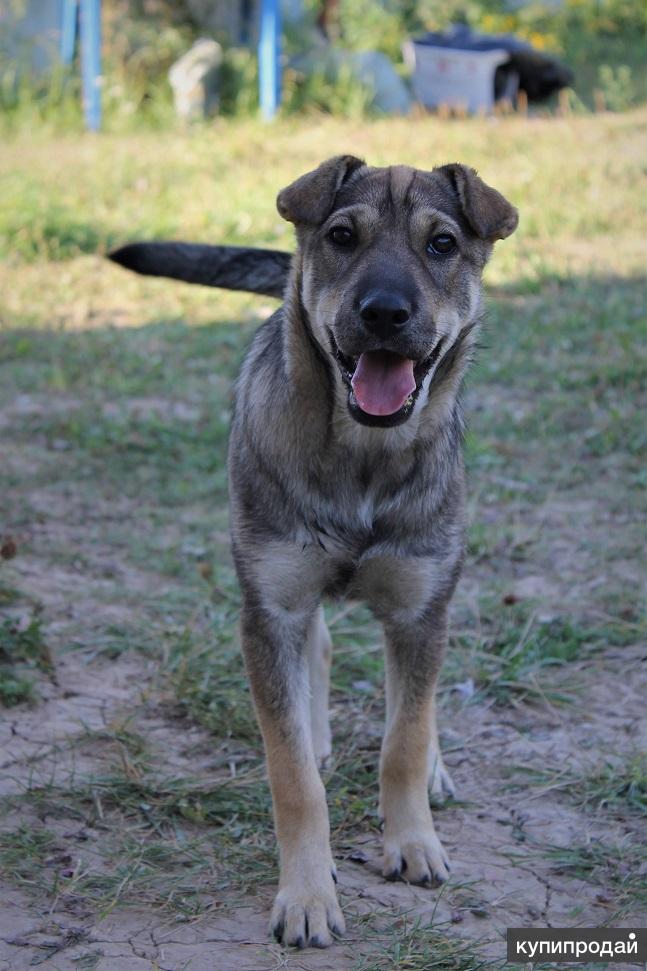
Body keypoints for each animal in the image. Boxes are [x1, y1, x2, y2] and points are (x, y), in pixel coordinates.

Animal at [110, 158, 516, 948]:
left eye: (443, 244)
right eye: (341, 236)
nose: (384, 313)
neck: (362, 458)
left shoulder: (420, 608)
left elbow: (404, 737)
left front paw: (413, 839)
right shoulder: (269, 612)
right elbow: (293, 775)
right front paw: (305, 894)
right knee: (318, 651)